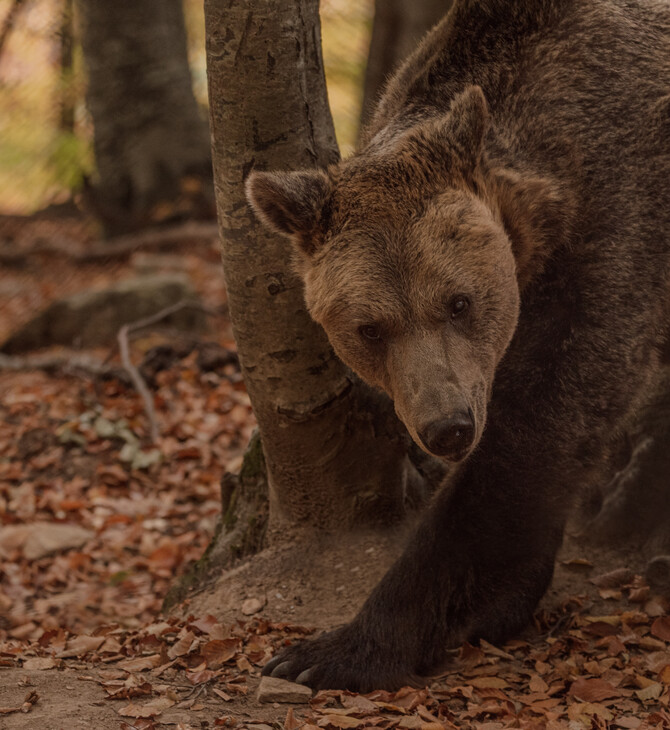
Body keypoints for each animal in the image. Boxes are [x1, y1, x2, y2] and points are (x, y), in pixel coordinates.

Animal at [247, 0, 670, 688]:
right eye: (369, 328)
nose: (447, 427)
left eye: (459, 302)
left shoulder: (617, 229)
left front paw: (337, 651)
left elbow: (537, 428)